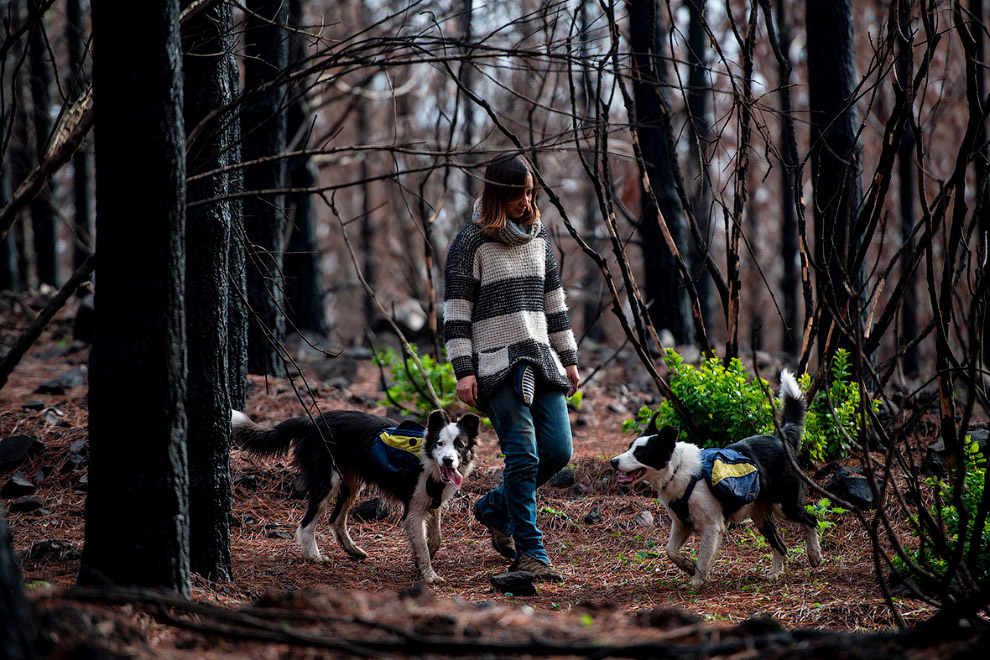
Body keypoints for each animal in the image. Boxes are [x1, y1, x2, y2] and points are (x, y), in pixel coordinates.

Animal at [232, 408, 480, 584]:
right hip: (327, 481)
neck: (429, 463)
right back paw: (314, 557)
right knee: (306, 525)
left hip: (351, 484)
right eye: (440, 443)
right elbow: (422, 546)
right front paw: (428, 575)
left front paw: (427, 554)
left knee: (336, 520)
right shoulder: (413, 511)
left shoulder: (433, 504)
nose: (448, 460)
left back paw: (352, 550)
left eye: (460, 445)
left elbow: (435, 537)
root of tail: (312, 421)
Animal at [612, 372, 820, 588]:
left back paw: (814, 555)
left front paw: (695, 582)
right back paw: (775, 573)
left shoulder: (712, 526)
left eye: (640, 453)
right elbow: (670, 551)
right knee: (780, 545)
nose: (613, 462)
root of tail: (781, 439)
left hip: (785, 505)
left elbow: (703, 558)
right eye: (629, 447)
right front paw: (687, 566)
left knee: (812, 519)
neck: (676, 470)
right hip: (761, 515)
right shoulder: (681, 523)